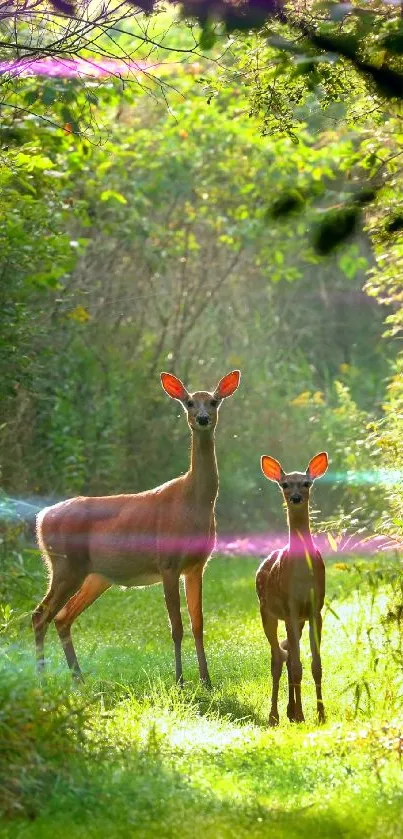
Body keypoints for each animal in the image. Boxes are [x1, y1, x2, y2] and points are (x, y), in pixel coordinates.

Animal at [34, 370, 240, 684]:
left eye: (214, 401)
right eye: (190, 402)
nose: (203, 418)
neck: (193, 502)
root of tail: (42, 517)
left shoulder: (196, 565)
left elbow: (198, 624)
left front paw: (207, 681)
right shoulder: (168, 562)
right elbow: (176, 627)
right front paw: (180, 681)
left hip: (95, 576)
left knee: (62, 617)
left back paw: (78, 680)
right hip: (66, 565)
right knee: (40, 615)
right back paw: (43, 680)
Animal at [258, 456, 330, 724]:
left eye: (307, 483)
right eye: (285, 484)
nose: (296, 497)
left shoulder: (315, 609)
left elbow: (316, 665)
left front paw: (320, 714)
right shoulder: (290, 606)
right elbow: (298, 664)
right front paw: (302, 714)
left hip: (297, 620)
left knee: (287, 653)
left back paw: (291, 711)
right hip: (266, 611)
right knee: (278, 656)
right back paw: (276, 715)